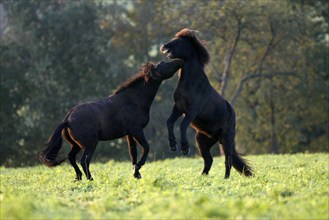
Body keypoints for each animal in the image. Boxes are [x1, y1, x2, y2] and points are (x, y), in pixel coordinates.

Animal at [39, 59, 183, 180]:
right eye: (163, 64)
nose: (179, 61)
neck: (133, 100)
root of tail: (68, 119)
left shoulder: (129, 134)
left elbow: (133, 153)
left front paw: (136, 173)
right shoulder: (136, 130)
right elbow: (146, 148)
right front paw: (138, 168)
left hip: (76, 144)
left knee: (72, 157)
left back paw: (78, 178)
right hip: (90, 143)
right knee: (84, 160)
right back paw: (90, 179)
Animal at [160, 28, 252, 179]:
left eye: (179, 41)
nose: (163, 47)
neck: (191, 83)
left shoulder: (192, 111)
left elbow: (183, 125)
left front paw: (184, 148)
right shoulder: (178, 108)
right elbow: (169, 122)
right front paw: (173, 145)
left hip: (226, 139)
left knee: (228, 160)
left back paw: (225, 179)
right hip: (203, 141)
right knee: (209, 160)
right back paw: (202, 177)